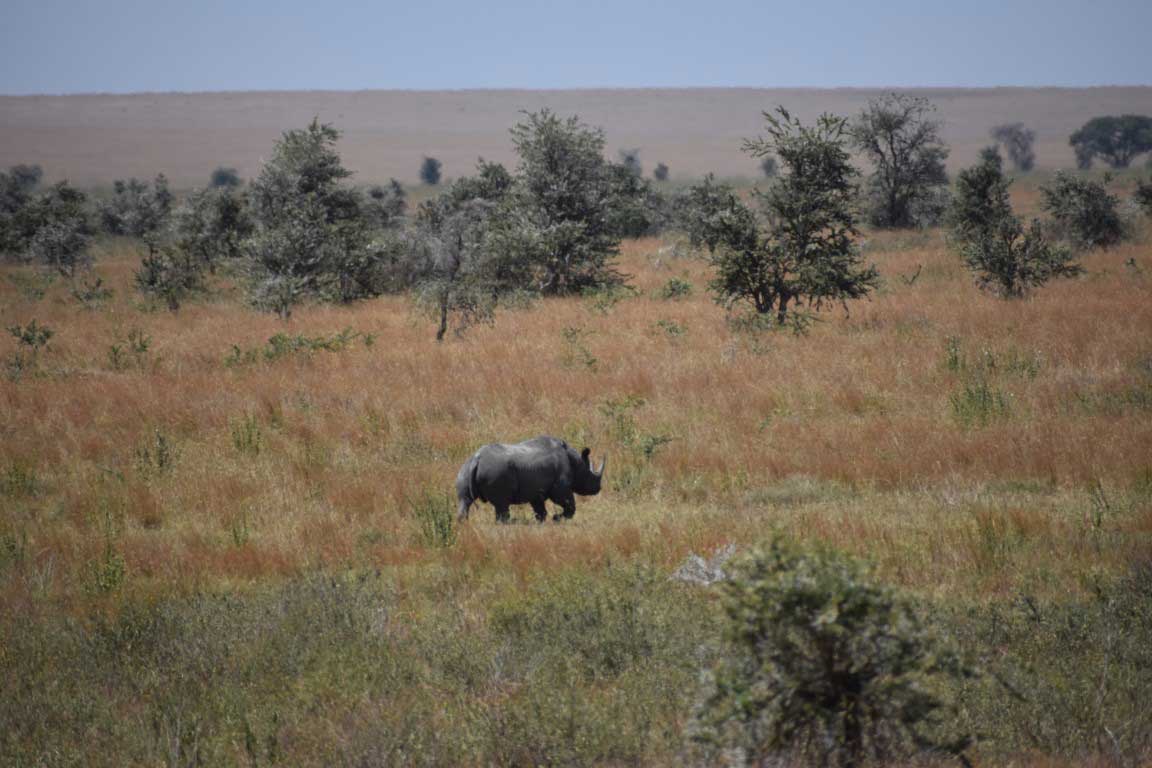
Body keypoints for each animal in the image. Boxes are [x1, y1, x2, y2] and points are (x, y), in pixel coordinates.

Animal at [453, 435, 608, 525]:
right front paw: (556, 519)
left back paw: (464, 527)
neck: (576, 462)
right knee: (502, 505)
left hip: (464, 469)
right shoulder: (560, 486)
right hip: (495, 470)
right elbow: (569, 505)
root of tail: (477, 460)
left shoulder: (536, 491)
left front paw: (542, 523)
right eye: (590, 476)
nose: (598, 488)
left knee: (465, 501)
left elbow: (540, 510)